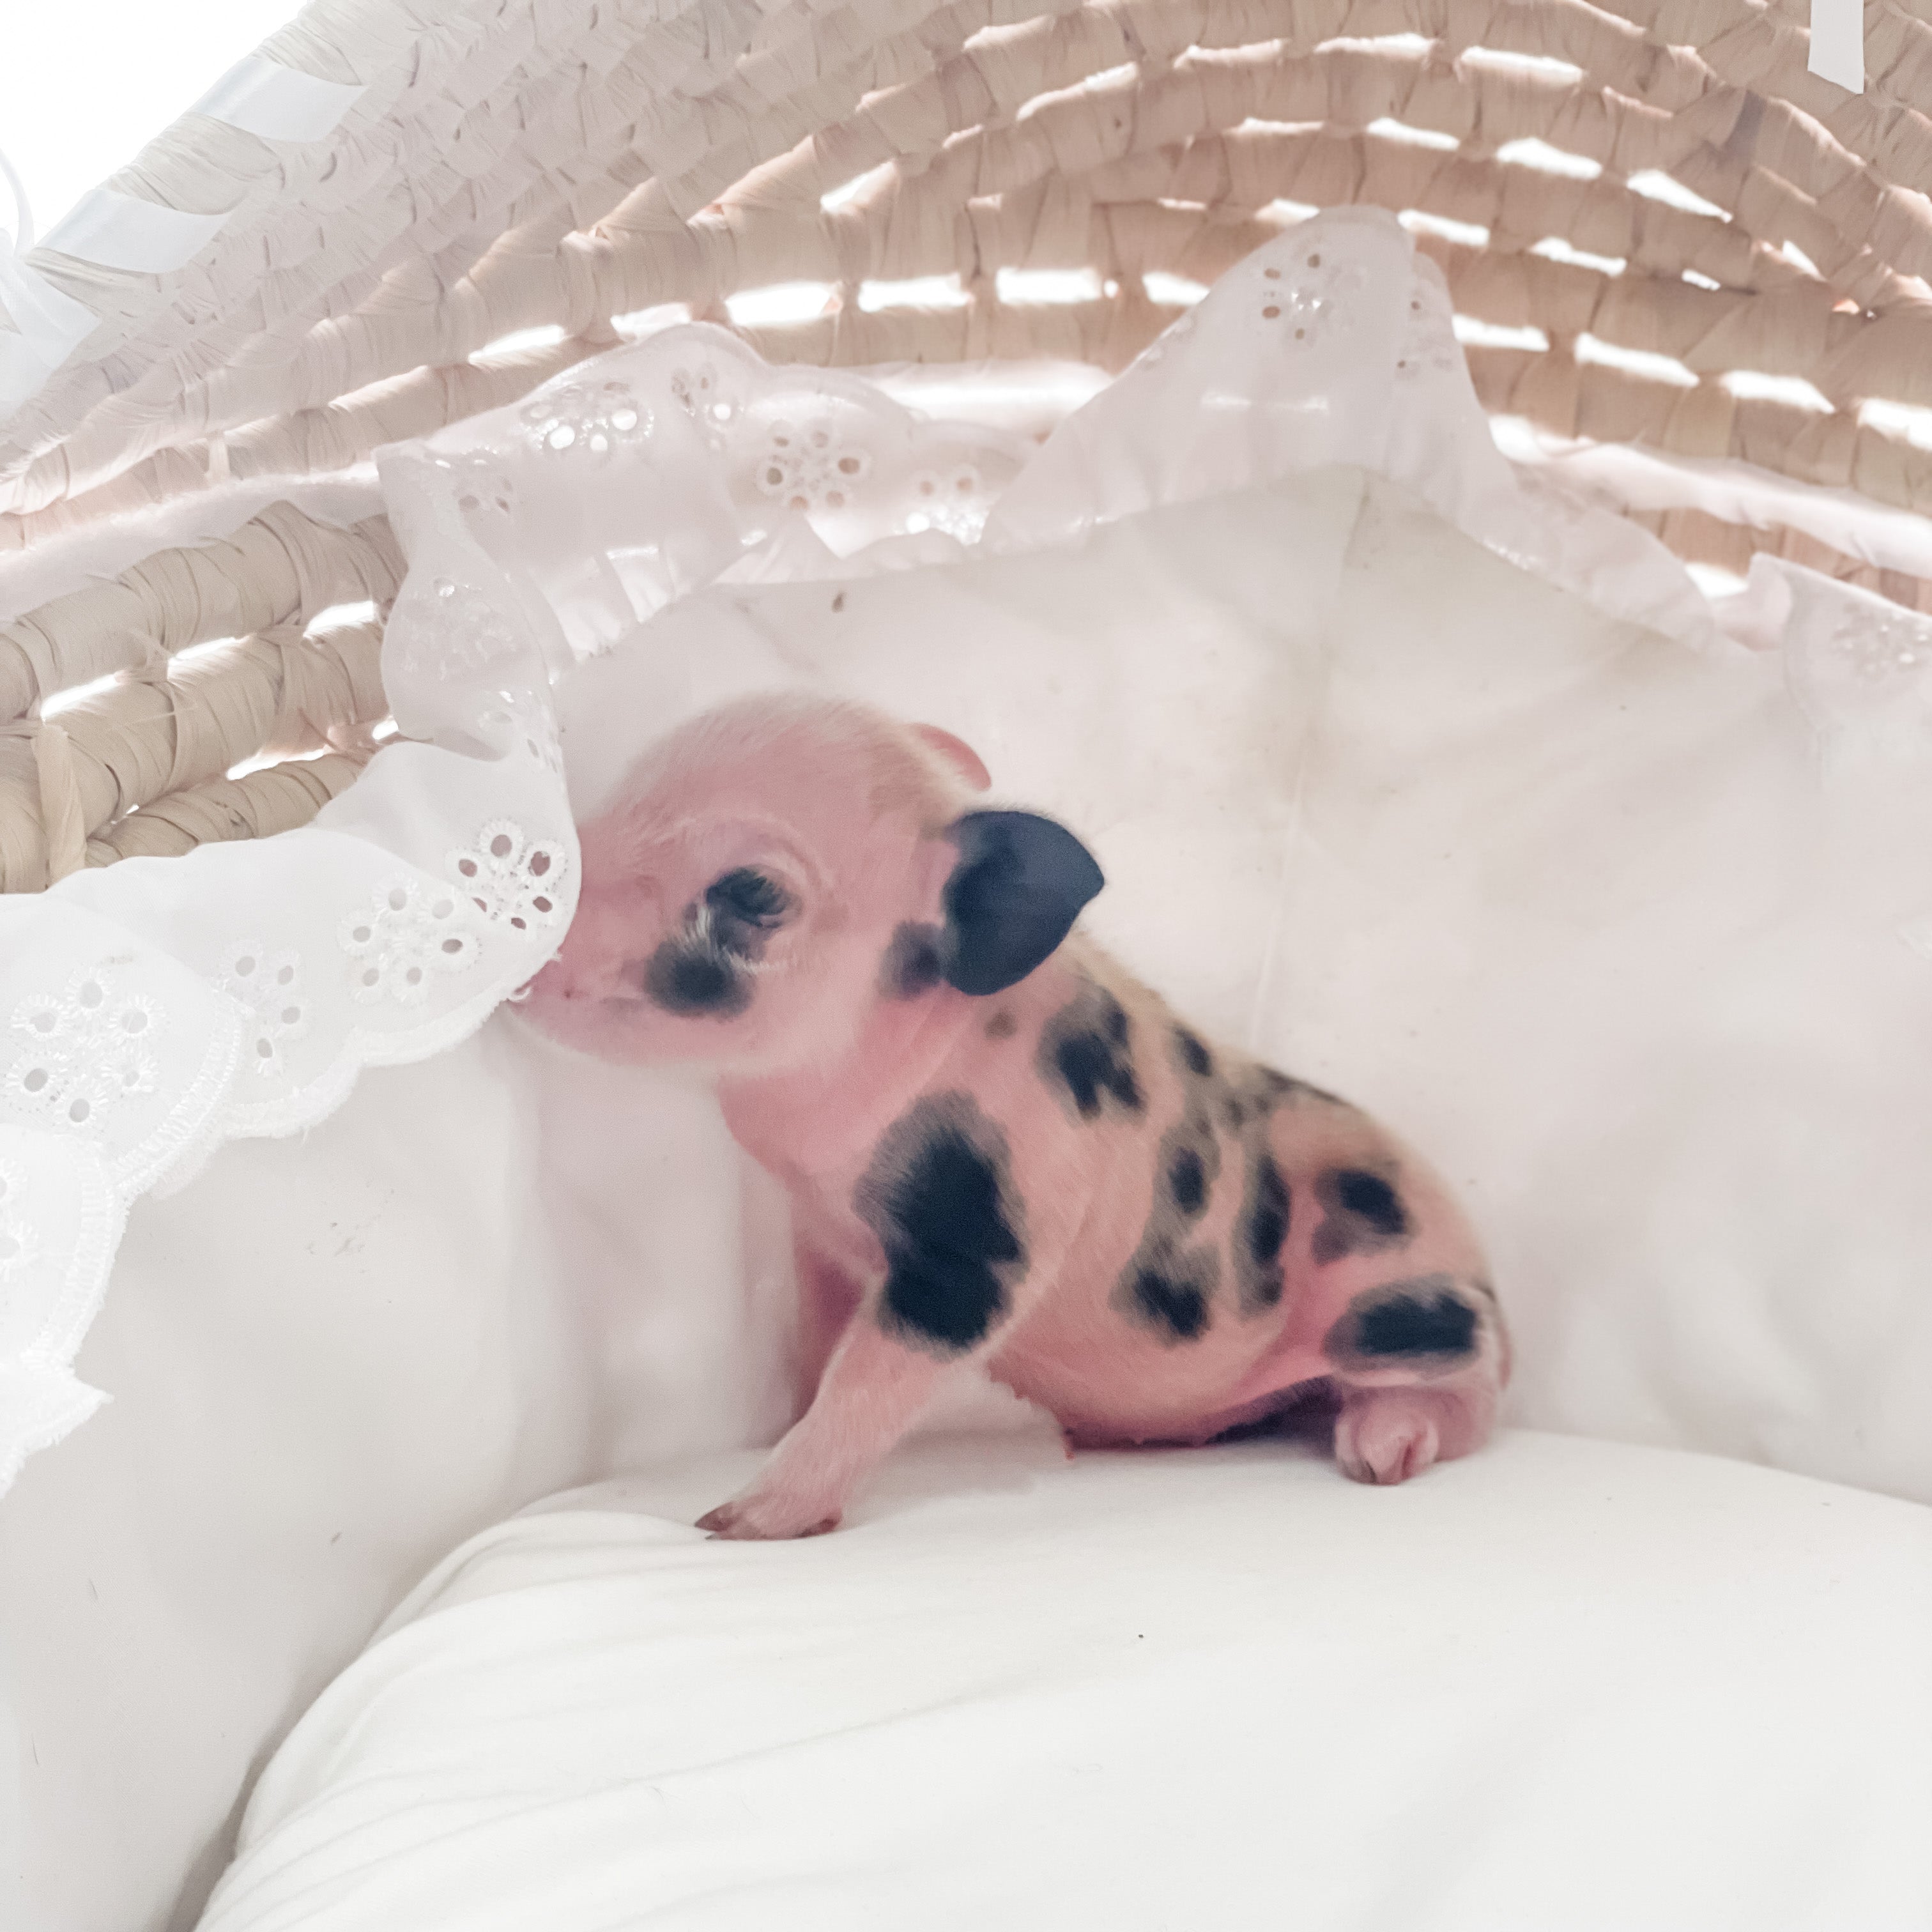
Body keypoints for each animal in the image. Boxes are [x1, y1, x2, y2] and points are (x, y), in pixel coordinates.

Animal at [525, 694, 1508, 1539]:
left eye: (753, 894)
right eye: (626, 787)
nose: (534, 898)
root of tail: (1489, 1279)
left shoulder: (992, 1237)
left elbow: (873, 1377)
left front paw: (737, 1522)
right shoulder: (819, 1232)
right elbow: (819, 1347)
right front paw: (774, 1435)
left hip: (1408, 1310)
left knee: (1473, 1401)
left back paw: (1379, 1452)